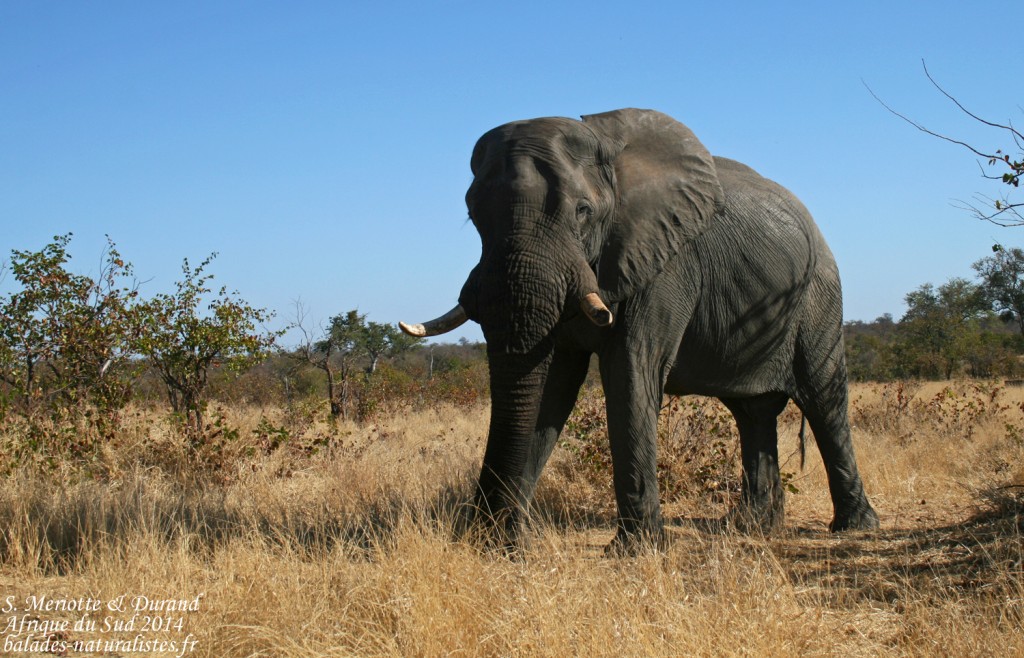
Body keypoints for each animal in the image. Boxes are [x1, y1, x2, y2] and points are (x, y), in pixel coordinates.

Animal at [401, 108, 879, 554]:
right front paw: (504, 543)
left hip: (818, 294)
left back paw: (855, 527)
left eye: (583, 212)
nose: (490, 535)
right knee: (753, 412)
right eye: (473, 215)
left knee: (824, 399)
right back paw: (752, 527)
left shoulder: (665, 261)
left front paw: (635, 550)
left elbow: (630, 371)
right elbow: (550, 386)